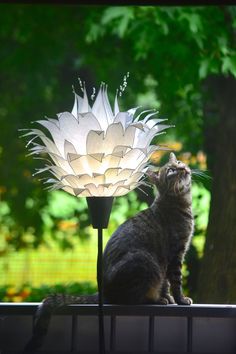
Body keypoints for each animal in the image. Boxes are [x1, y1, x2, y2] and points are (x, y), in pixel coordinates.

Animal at [24, 151, 194, 352]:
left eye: (180, 162)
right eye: (171, 171)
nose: (183, 168)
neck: (177, 202)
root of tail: (104, 292)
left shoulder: (167, 261)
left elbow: (166, 284)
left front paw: (168, 297)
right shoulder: (175, 254)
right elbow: (175, 282)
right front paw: (180, 299)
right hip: (145, 262)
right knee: (132, 299)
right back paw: (154, 300)